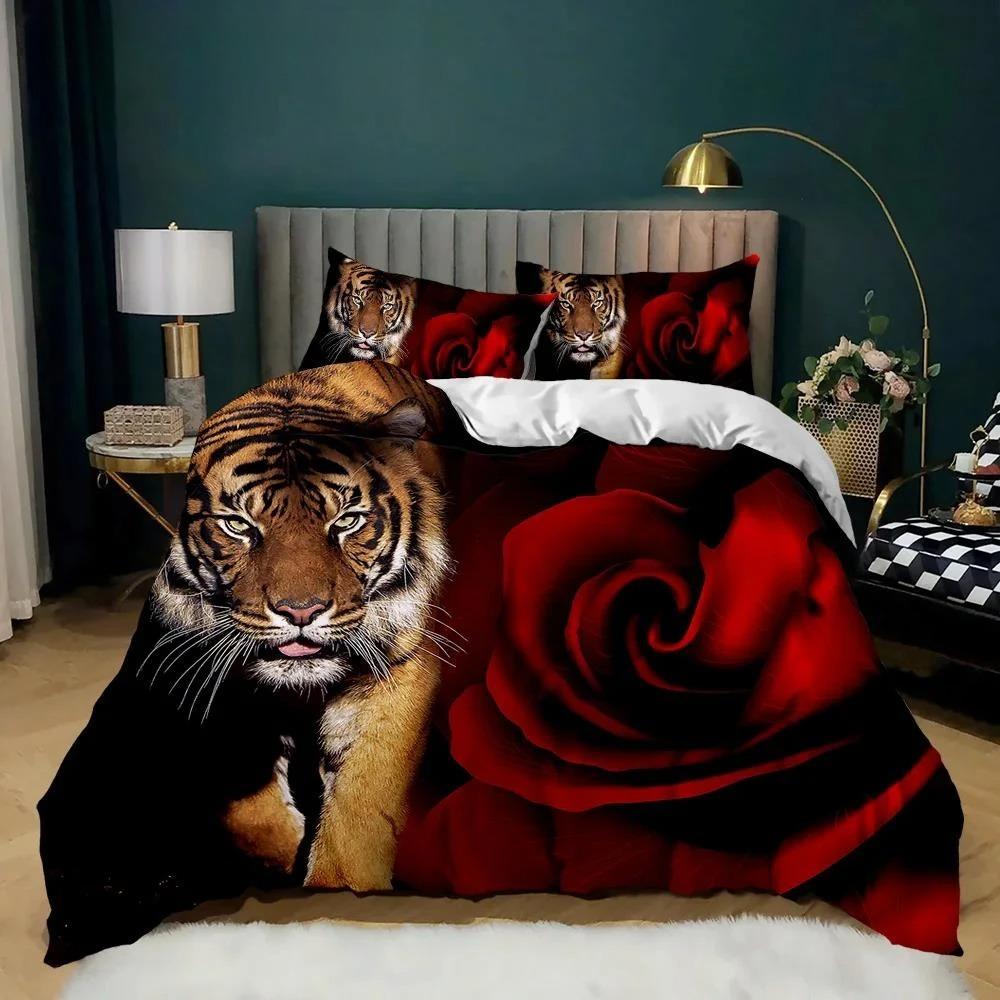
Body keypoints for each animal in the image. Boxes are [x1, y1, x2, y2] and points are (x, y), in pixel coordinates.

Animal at [150, 361, 451, 892]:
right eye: (238, 526)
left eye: (347, 521)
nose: (301, 612)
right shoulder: (213, 674)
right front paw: (280, 858)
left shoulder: (401, 671)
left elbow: (362, 808)